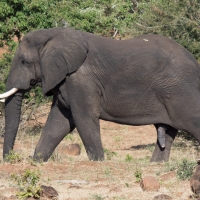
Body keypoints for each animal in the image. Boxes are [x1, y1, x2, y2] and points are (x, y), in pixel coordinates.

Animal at [0, 27, 198, 162]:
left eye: (24, 61)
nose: (10, 158)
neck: (55, 34)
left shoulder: (80, 79)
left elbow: (83, 118)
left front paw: (98, 161)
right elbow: (59, 121)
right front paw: (37, 161)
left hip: (182, 90)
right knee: (169, 132)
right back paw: (156, 164)